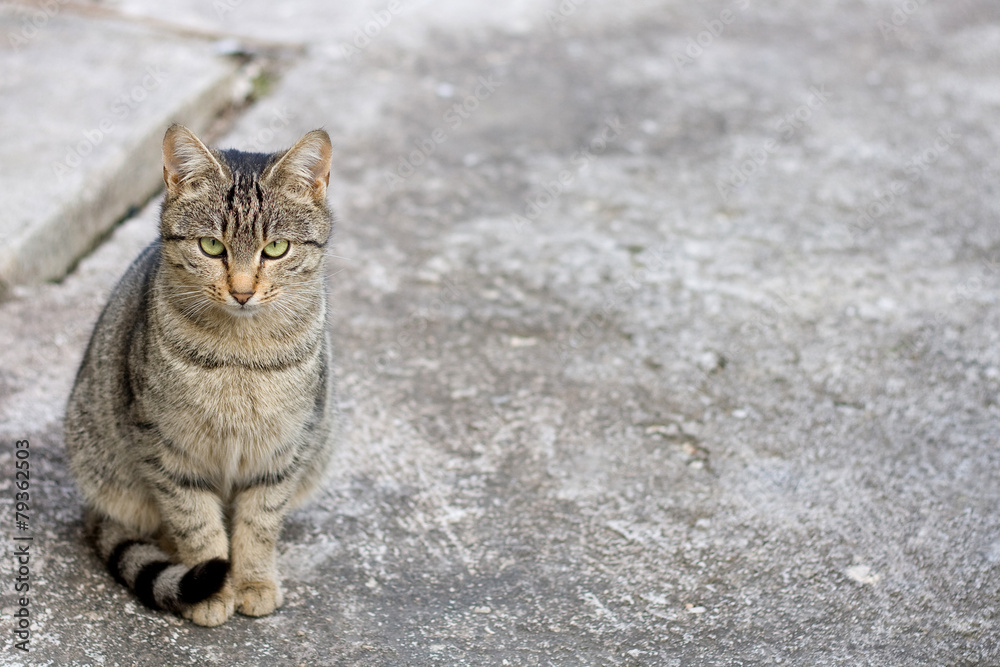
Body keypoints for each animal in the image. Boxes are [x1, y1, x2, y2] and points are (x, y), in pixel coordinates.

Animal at [64, 124, 339, 626]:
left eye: (276, 249)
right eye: (212, 246)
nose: (243, 292)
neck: (241, 356)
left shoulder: (284, 448)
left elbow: (259, 523)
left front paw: (253, 581)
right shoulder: (165, 449)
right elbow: (195, 523)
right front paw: (213, 588)